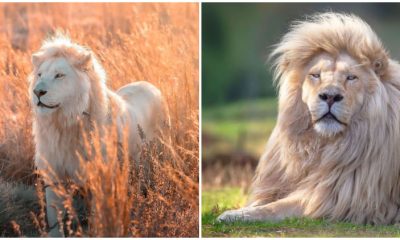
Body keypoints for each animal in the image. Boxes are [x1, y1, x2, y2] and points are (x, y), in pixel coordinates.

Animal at [27, 34, 166, 237]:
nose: (38, 92)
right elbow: (55, 217)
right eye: (39, 75)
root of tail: (149, 84)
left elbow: (97, 215)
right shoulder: (54, 174)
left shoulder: (100, 176)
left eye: (59, 75)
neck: (65, 125)